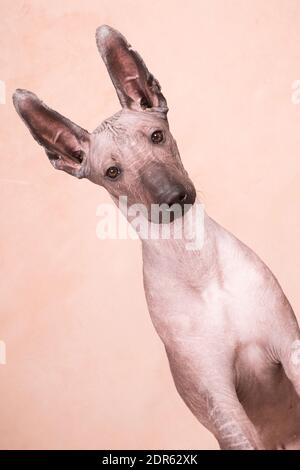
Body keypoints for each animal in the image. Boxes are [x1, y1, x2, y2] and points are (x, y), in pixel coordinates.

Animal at [11, 24, 300, 448]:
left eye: (157, 136)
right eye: (113, 172)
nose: (173, 197)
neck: (194, 261)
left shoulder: (290, 348)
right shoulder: (220, 403)